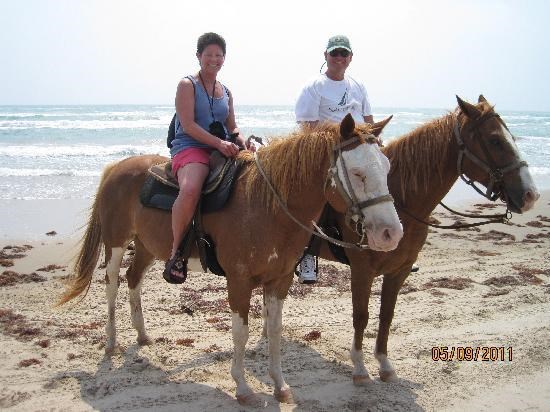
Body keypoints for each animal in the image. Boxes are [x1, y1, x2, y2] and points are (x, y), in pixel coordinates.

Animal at [58, 114, 406, 404]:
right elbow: (242, 332)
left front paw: (280, 385)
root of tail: (115, 168)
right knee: (112, 285)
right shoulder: (239, 282)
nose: (391, 233)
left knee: (133, 280)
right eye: (358, 173)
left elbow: (274, 330)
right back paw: (111, 341)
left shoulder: (279, 280)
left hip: (148, 247)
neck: (266, 206)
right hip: (116, 244)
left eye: (388, 169)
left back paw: (142, 335)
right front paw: (242, 388)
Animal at [314, 95, 544, 384]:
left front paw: (384, 363)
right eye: (495, 141)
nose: (531, 195)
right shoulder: (362, 270)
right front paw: (359, 367)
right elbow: (361, 316)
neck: (399, 204)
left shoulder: (399, 271)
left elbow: (386, 315)